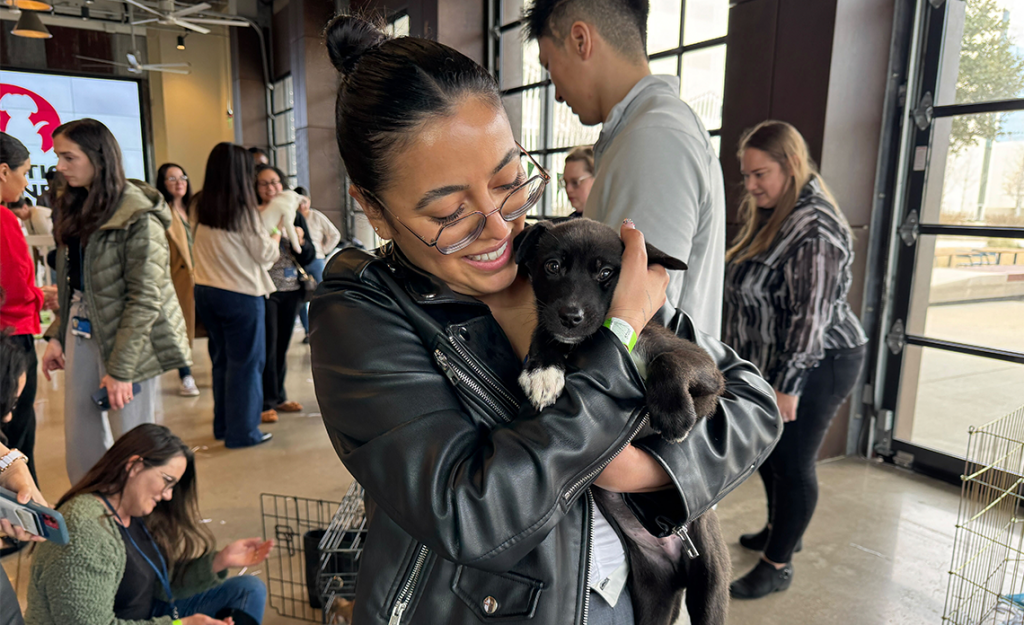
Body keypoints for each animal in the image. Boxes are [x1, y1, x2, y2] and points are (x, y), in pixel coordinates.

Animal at [516, 216, 724, 440]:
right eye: (553, 266)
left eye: (605, 272)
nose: (570, 318)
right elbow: (544, 331)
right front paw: (542, 370)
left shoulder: (707, 365)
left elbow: (667, 358)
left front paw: (672, 411)